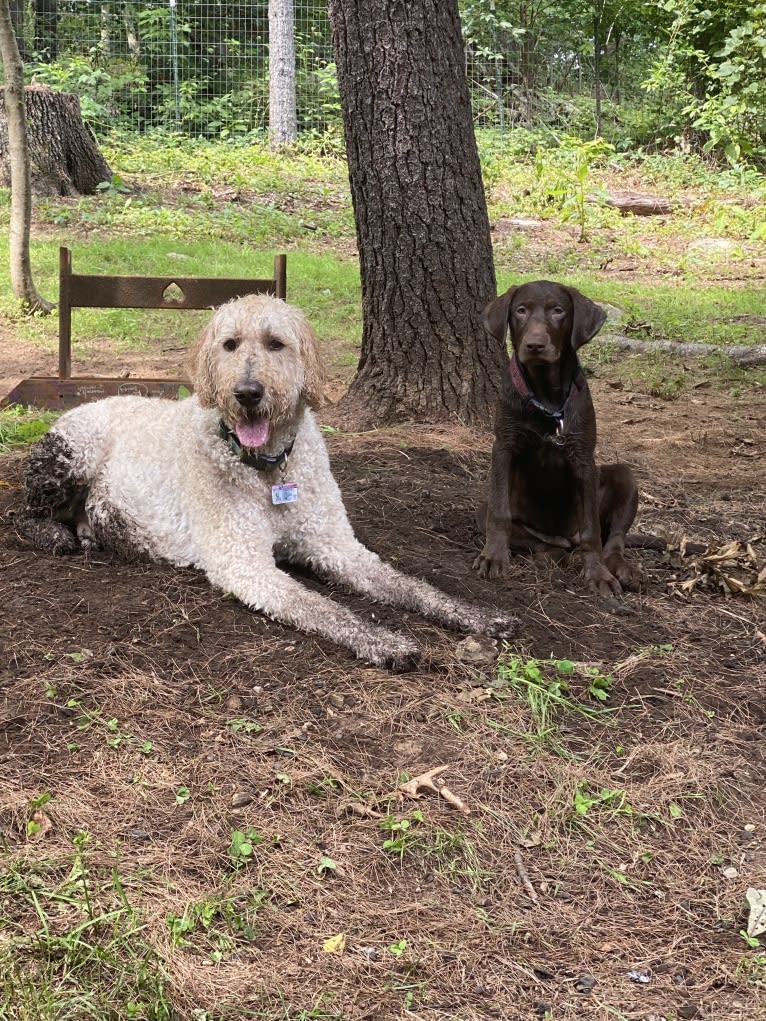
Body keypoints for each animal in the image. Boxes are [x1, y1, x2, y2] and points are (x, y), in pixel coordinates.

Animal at [15, 294, 518, 669]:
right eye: (229, 344)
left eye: (276, 343)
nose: (247, 393)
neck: (269, 467)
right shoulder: (245, 564)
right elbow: (324, 608)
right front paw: (385, 641)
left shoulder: (336, 546)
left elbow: (412, 587)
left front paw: (479, 616)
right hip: (72, 455)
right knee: (21, 515)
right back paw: (57, 534)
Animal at [473, 279, 641, 596]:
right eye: (521, 310)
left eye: (558, 311)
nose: (534, 345)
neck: (545, 396)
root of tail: (563, 537)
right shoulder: (503, 447)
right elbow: (499, 514)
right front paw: (493, 557)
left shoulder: (582, 457)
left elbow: (592, 532)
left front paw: (597, 574)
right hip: (493, 510)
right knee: (545, 545)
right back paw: (552, 556)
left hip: (625, 476)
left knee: (612, 540)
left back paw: (621, 568)